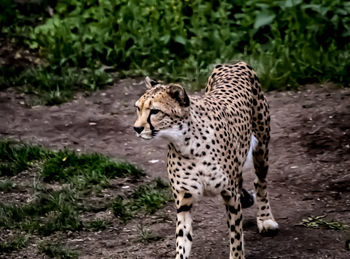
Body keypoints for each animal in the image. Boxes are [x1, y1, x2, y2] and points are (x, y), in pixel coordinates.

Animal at [133, 62, 278, 258]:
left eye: (155, 111)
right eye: (138, 108)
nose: (137, 128)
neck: (187, 144)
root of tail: (233, 63)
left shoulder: (230, 196)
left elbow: (235, 236)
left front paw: (237, 253)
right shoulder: (184, 201)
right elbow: (182, 239)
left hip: (262, 148)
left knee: (260, 182)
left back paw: (265, 219)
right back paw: (247, 199)